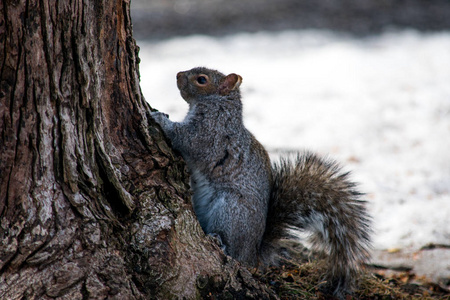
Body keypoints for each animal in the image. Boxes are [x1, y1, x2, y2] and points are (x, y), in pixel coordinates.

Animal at [151, 66, 372, 298]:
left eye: (201, 79)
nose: (178, 75)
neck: (218, 105)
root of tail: (253, 256)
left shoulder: (209, 134)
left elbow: (185, 138)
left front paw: (159, 118)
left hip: (231, 211)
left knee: (233, 252)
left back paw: (220, 242)